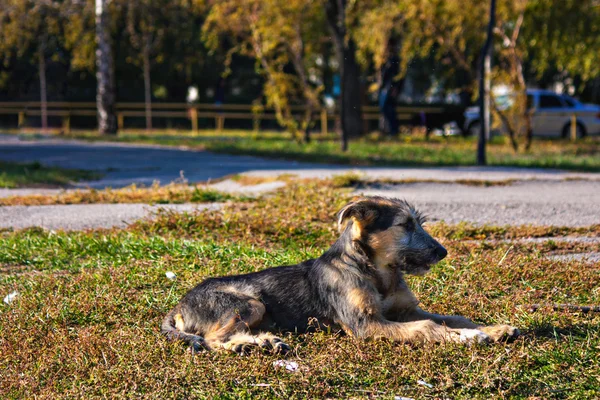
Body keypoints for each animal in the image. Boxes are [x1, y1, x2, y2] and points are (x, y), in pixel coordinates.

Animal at [162, 197, 516, 354]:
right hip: (248, 304)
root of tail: (179, 305)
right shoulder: (365, 324)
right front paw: (468, 338)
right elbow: (427, 327)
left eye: (421, 223)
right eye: (405, 225)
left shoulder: (405, 310)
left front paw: (493, 329)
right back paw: (254, 344)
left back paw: (261, 341)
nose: (442, 252)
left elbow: (454, 317)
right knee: (213, 339)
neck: (376, 271)